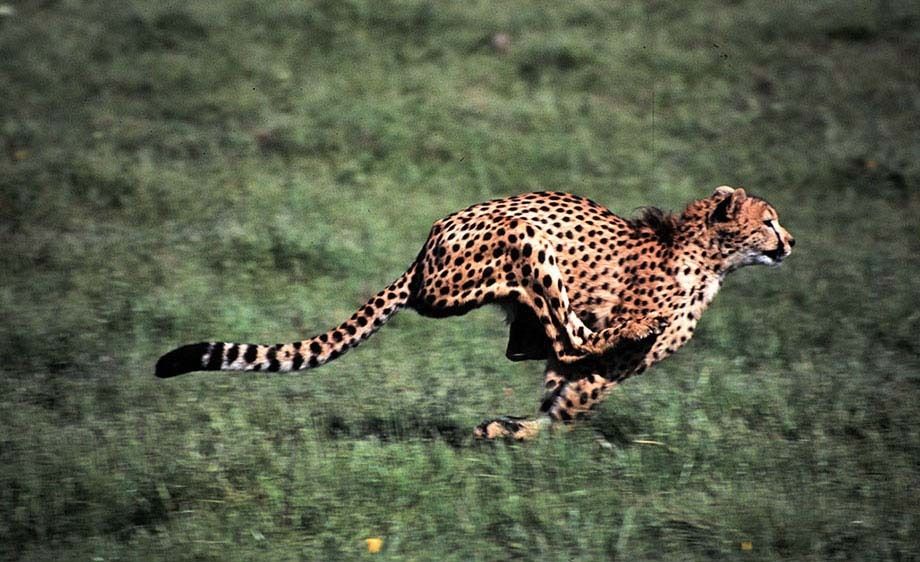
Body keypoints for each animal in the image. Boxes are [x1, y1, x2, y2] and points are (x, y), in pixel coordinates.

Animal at [156, 186, 795, 440]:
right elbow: (570, 399)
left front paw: (510, 428)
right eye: (768, 220)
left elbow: (561, 397)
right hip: (521, 237)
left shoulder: (597, 371)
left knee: (534, 342)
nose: (790, 242)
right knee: (567, 336)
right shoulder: (608, 364)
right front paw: (516, 432)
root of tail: (422, 255)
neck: (708, 257)